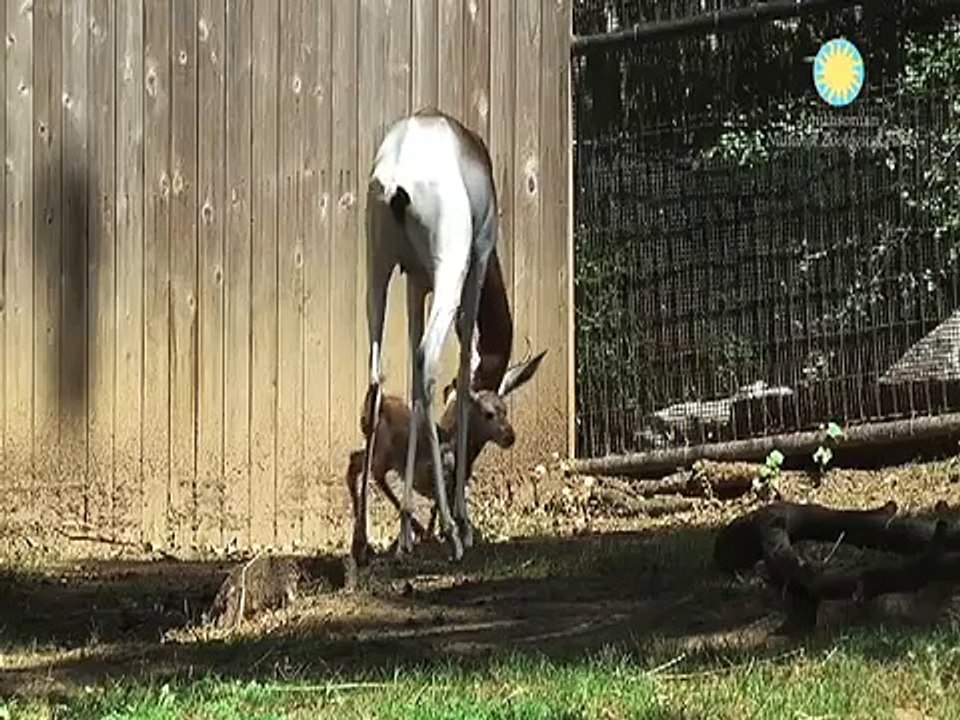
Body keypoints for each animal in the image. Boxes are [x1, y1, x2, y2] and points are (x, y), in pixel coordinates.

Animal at [347, 349, 546, 562]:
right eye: (488, 413)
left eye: (506, 410)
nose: (510, 437)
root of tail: (380, 403)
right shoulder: (440, 476)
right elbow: (444, 507)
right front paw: (446, 538)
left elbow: (440, 507)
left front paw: (438, 535)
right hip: (383, 452)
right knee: (374, 474)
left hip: (376, 451)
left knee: (355, 462)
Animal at [357, 108, 519, 565]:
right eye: (491, 410)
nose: (508, 436)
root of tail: (397, 177)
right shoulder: (476, 265)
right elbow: (462, 374)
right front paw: (464, 523)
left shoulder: (414, 281)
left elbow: (414, 386)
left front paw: (405, 535)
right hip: (450, 275)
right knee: (428, 360)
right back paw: (450, 531)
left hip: (377, 273)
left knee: (380, 374)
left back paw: (365, 542)